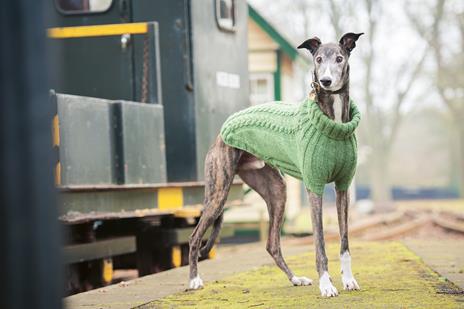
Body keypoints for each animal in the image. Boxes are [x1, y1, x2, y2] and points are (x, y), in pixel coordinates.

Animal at [188, 31, 362, 296]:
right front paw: (326, 285)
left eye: (340, 58)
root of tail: (222, 130)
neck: (333, 121)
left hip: (277, 190)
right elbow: (320, 244)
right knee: (194, 236)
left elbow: (344, 242)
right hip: (218, 193)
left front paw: (349, 280)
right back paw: (194, 280)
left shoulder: (343, 187)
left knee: (272, 244)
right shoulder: (314, 187)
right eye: (318, 59)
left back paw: (295, 278)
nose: (325, 81)